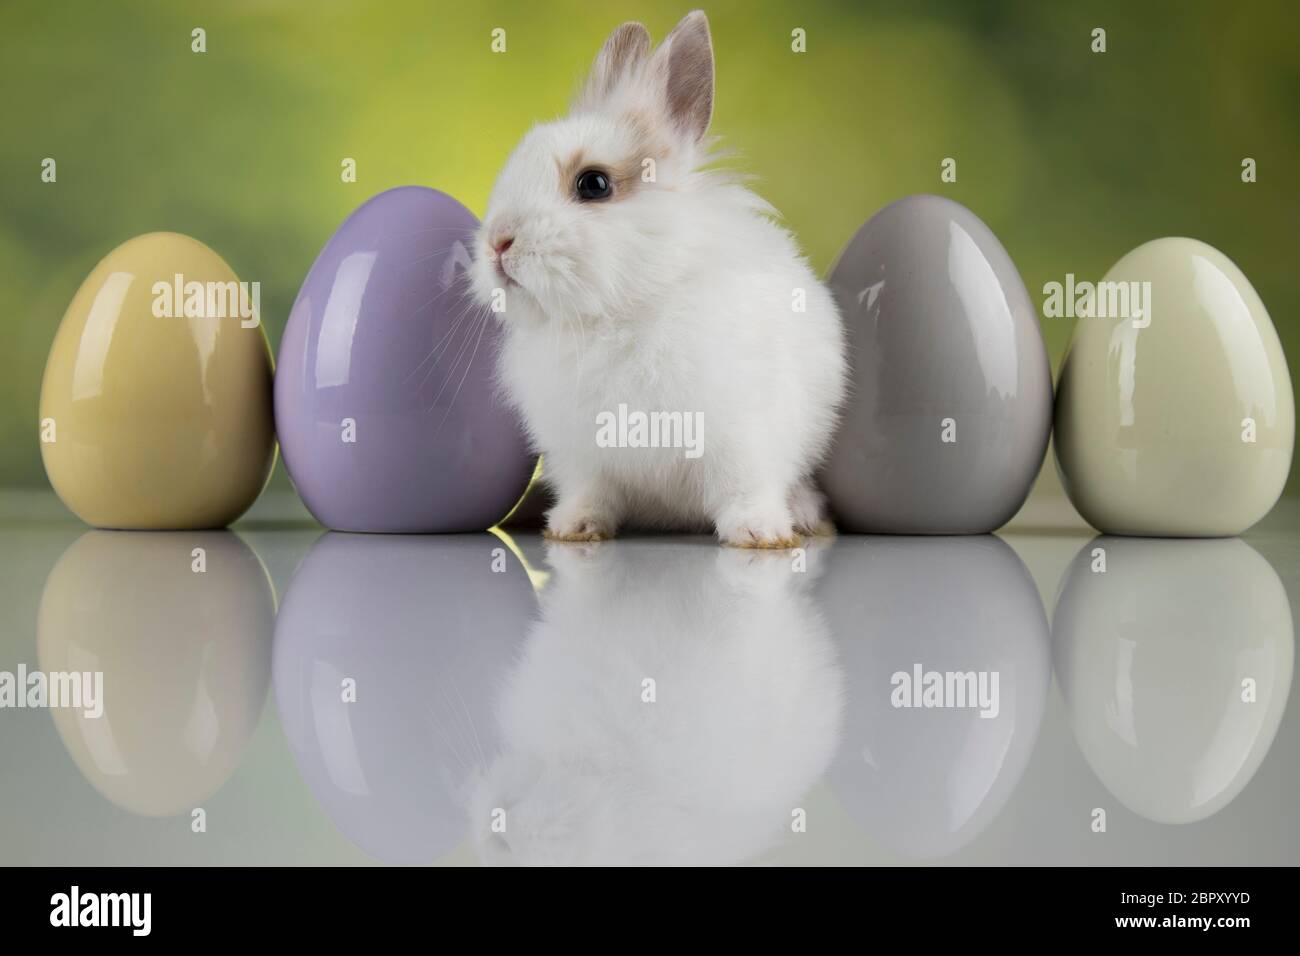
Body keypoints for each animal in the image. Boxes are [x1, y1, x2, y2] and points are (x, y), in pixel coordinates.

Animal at [470, 11, 847, 548]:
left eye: (593, 184)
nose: (498, 243)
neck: (618, 312)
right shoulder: (581, 454)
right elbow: (590, 490)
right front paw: (574, 528)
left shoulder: (743, 433)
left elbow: (743, 483)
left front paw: (759, 534)